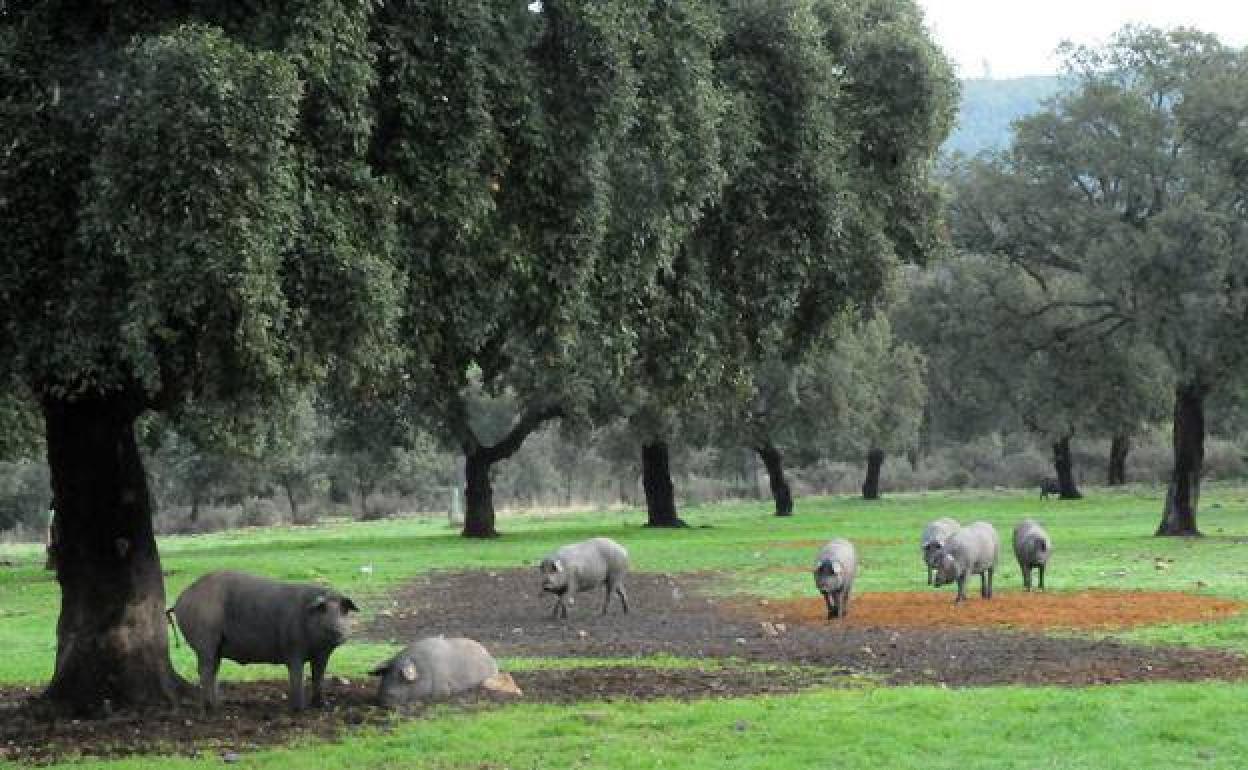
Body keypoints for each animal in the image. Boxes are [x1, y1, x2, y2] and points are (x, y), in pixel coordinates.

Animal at [168, 566, 359, 713]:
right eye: (324, 610)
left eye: (343, 611)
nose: (338, 629)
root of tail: (179, 601)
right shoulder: (293, 647)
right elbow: (297, 675)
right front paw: (300, 710)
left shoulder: (322, 655)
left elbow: (318, 676)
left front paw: (322, 706)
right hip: (205, 639)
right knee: (205, 670)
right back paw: (211, 709)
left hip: (216, 647)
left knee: (213, 670)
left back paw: (219, 704)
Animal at [371, 633, 524, 703]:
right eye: (387, 674)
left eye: (400, 676)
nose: (383, 697)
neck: (425, 671)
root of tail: (491, 658)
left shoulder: (442, 690)